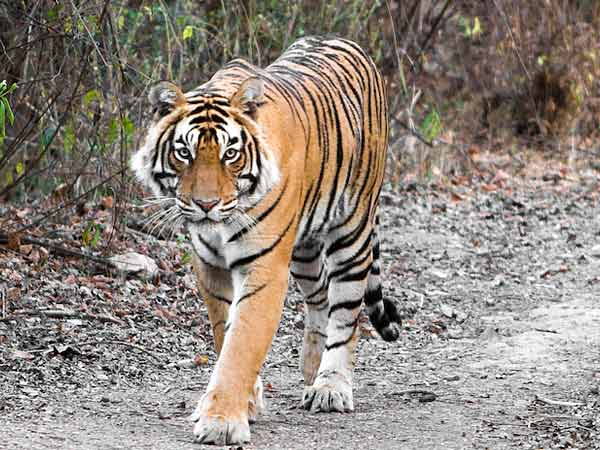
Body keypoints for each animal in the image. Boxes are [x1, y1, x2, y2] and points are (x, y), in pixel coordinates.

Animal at [132, 37, 404, 444]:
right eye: (184, 152)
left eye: (230, 153)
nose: (206, 204)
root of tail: (347, 42)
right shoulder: (210, 266)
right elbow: (225, 334)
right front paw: (247, 402)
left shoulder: (264, 268)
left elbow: (242, 344)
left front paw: (222, 422)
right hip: (304, 249)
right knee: (319, 297)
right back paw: (312, 367)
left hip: (352, 233)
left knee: (345, 312)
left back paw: (330, 386)